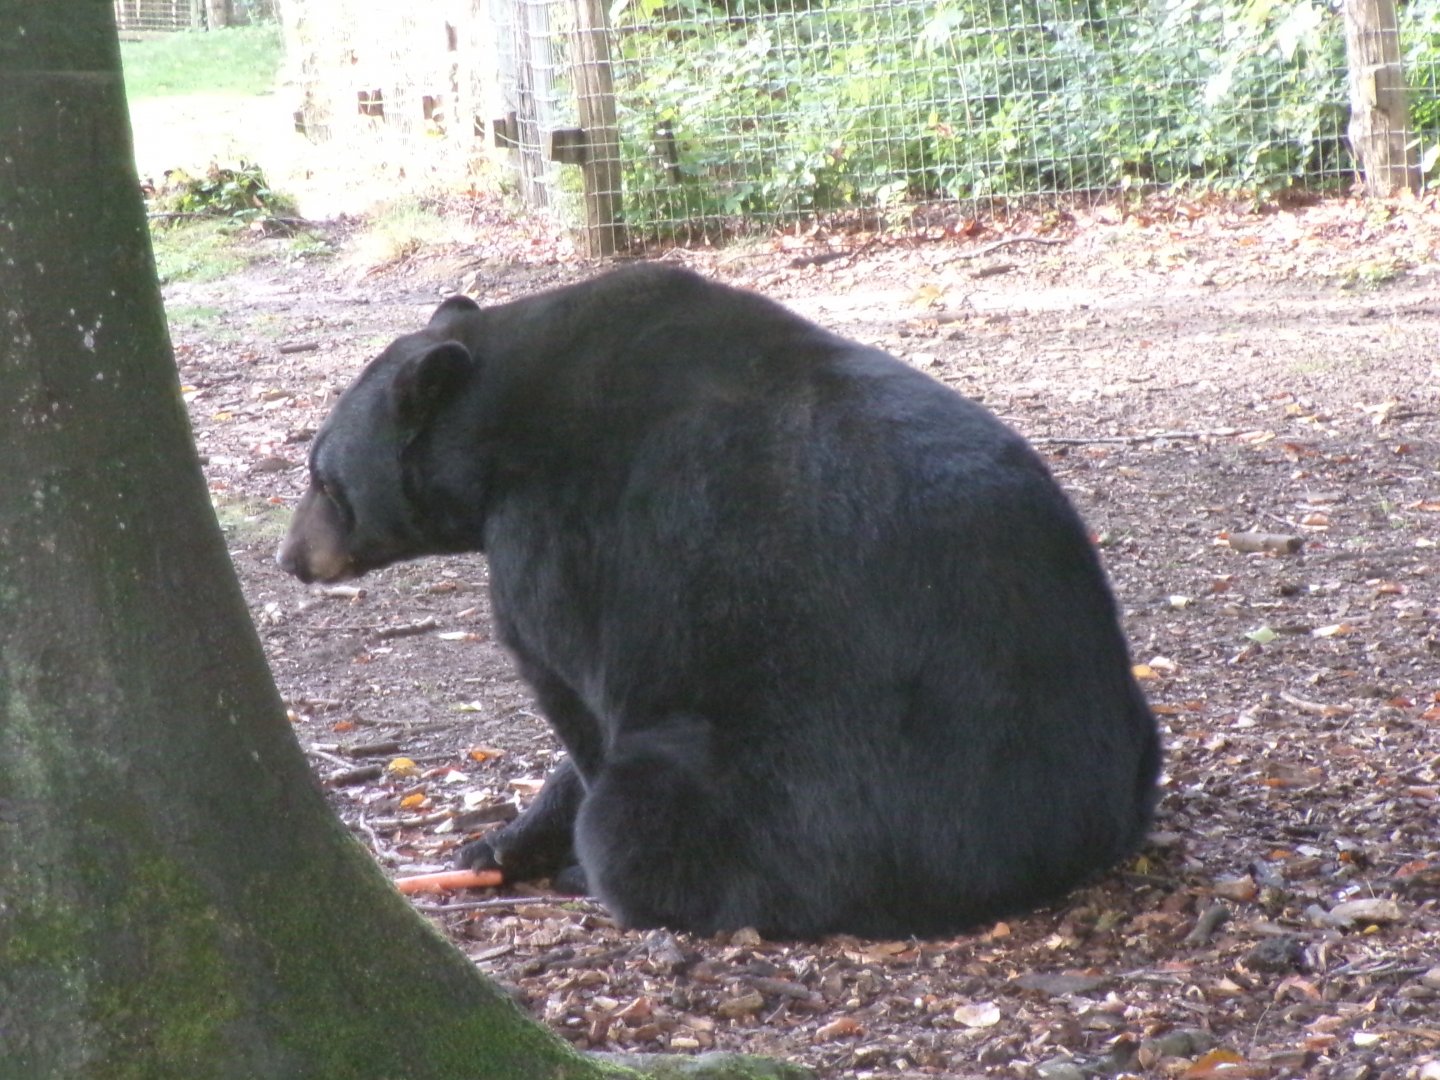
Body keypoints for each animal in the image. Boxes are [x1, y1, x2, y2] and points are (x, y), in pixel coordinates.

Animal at [278, 264, 1160, 940]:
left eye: (323, 477)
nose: (290, 557)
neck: (501, 424)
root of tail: (1050, 845)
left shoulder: (561, 543)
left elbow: (576, 700)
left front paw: (540, 846)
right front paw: (496, 844)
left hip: (796, 796)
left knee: (652, 821)